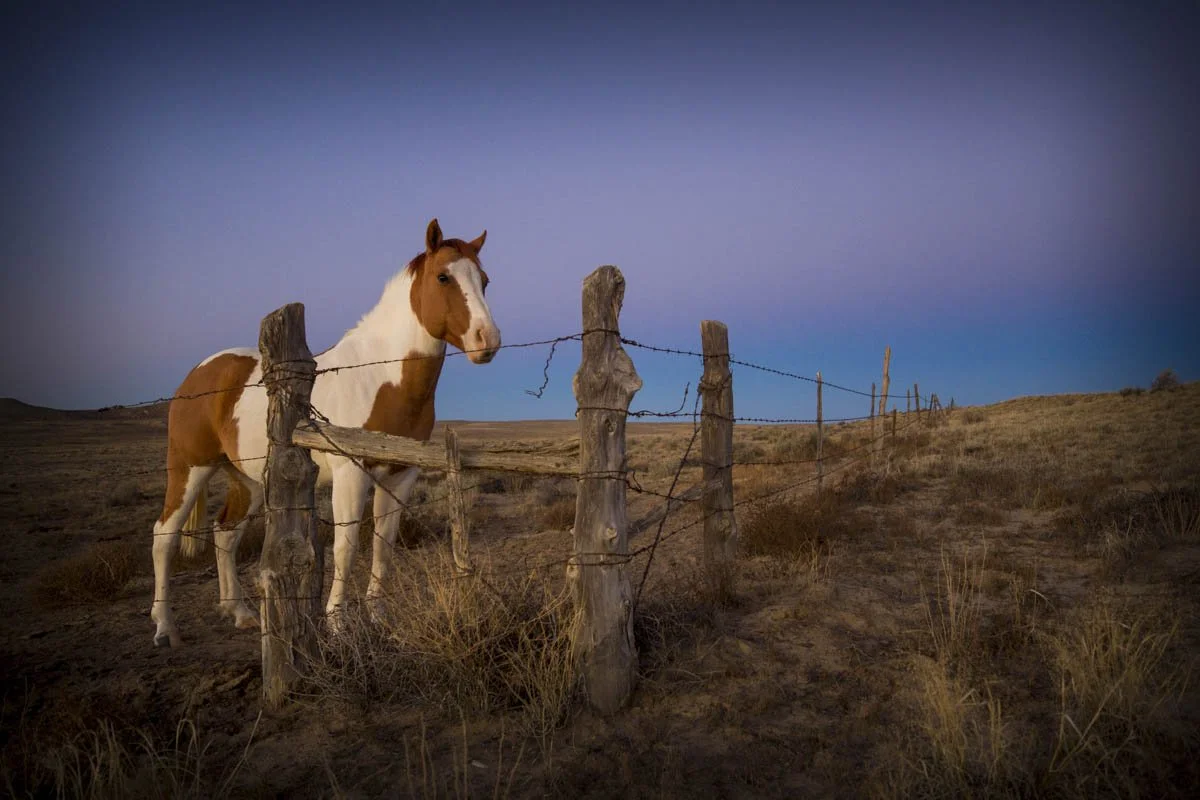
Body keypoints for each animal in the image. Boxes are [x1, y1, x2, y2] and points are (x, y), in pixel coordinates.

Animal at [150, 219, 501, 647]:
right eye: (443, 277)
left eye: (484, 281)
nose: (488, 340)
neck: (380, 377)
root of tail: (198, 373)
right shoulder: (351, 475)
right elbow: (345, 548)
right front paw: (337, 623)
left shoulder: (401, 477)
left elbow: (383, 546)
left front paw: (378, 617)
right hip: (190, 467)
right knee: (164, 537)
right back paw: (165, 627)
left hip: (247, 478)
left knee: (225, 533)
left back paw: (240, 613)